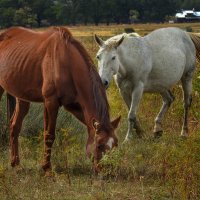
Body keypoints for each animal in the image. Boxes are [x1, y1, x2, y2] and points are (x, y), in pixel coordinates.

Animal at [0, 27, 119, 175]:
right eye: (99, 145)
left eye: (115, 144)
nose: (108, 172)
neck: (66, 62)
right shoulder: (50, 103)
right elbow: (49, 135)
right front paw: (47, 168)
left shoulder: (74, 106)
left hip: (21, 97)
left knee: (14, 126)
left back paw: (15, 163)